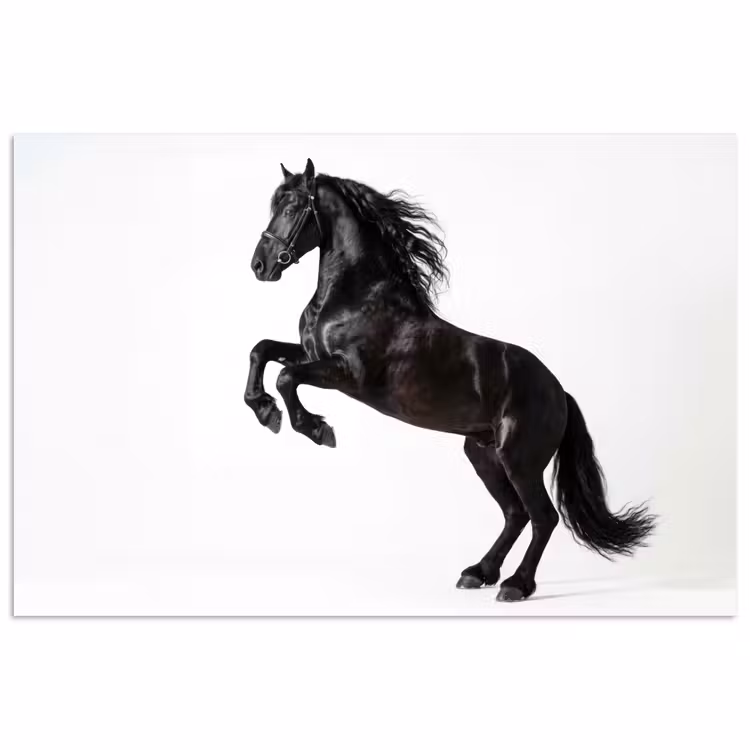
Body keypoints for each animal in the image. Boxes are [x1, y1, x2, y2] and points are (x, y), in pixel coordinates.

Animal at [245, 159, 655, 602]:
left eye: (292, 208)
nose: (260, 266)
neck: (356, 297)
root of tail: (560, 392)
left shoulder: (347, 373)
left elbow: (286, 377)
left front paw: (316, 429)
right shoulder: (312, 355)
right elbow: (262, 351)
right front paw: (265, 411)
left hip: (520, 460)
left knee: (542, 517)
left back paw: (515, 585)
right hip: (483, 455)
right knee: (515, 514)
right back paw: (478, 573)